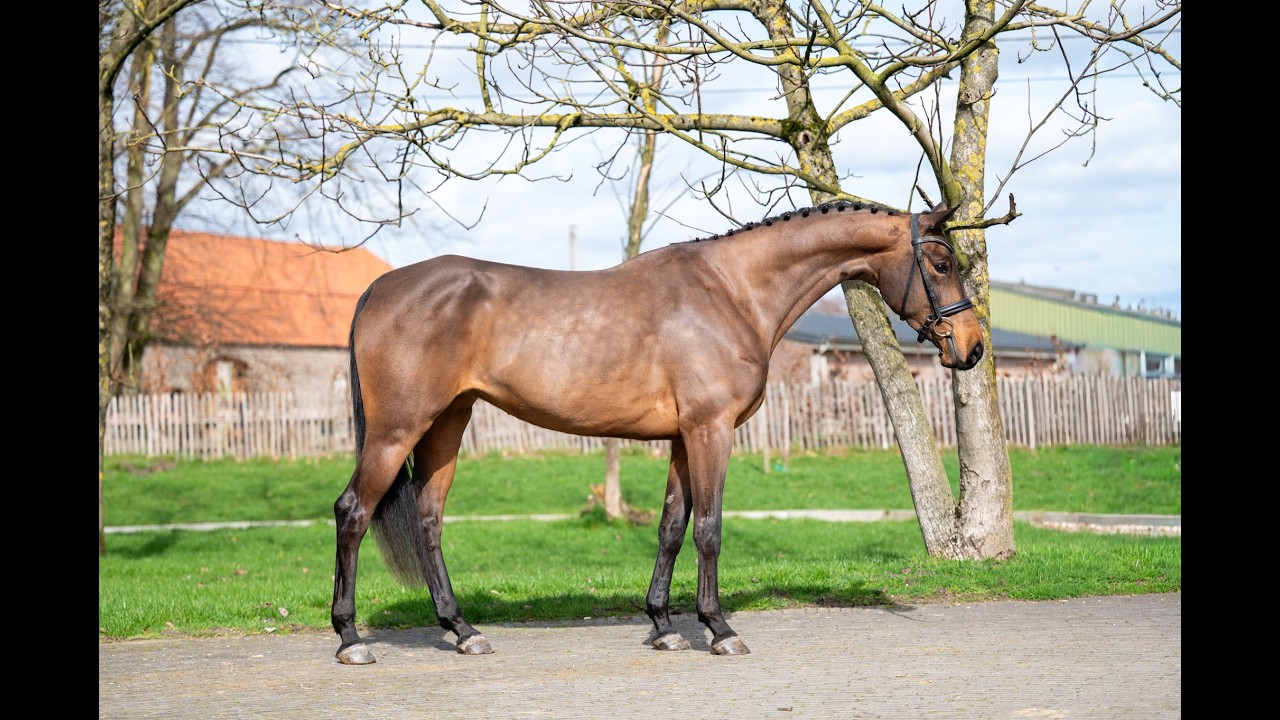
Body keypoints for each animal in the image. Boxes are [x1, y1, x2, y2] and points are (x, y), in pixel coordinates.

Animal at [331, 200, 984, 664]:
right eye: (942, 263)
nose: (973, 348)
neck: (732, 291)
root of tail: (378, 289)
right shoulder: (711, 431)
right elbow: (709, 529)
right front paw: (719, 629)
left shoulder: (680, 439)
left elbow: (671, 528)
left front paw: (664, 626)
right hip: (397, 430)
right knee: (353, 511)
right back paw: (350, 638)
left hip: (448, 423)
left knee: (428, 520)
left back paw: (463, 630)